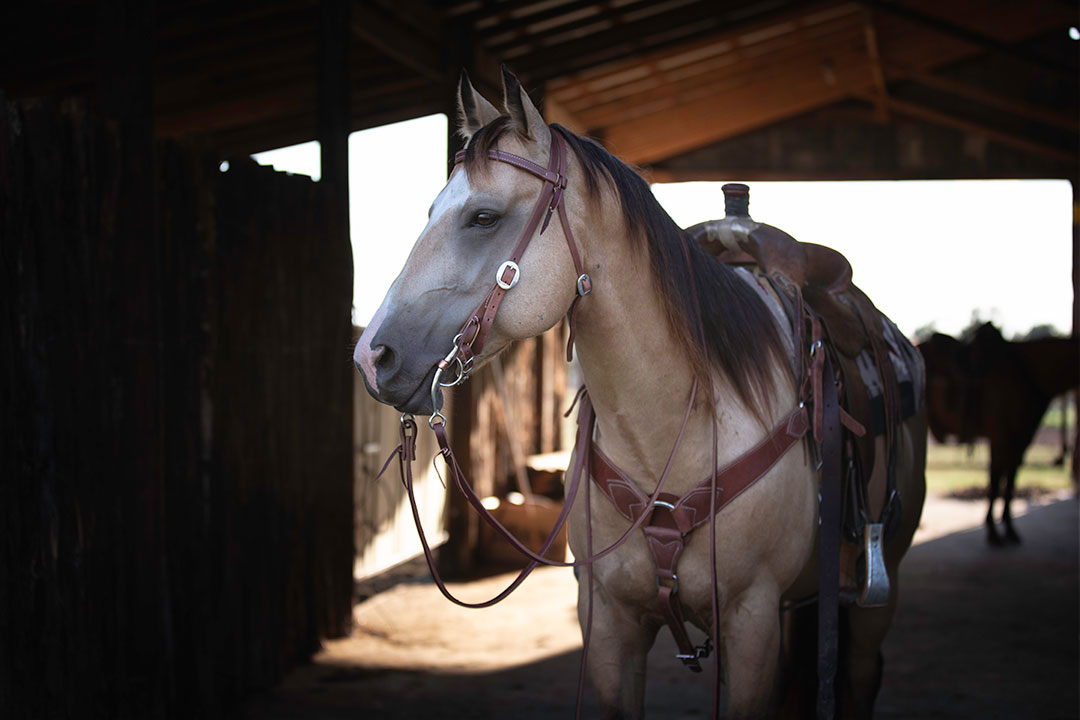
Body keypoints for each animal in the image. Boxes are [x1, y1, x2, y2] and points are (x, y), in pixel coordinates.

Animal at [354, 69, 928, 720]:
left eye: (482, 216)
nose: (372, 356)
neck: (669, 437)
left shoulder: (751, 621)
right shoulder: (609, 623)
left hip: (874, 595)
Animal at [915, 323, 1075, 544]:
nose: (1061, 457)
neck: (1026, 371)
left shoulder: (1022, 438)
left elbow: (1010, 480)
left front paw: (1008, 528)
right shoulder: (1001, 435)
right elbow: (996, 479)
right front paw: (994, 531)